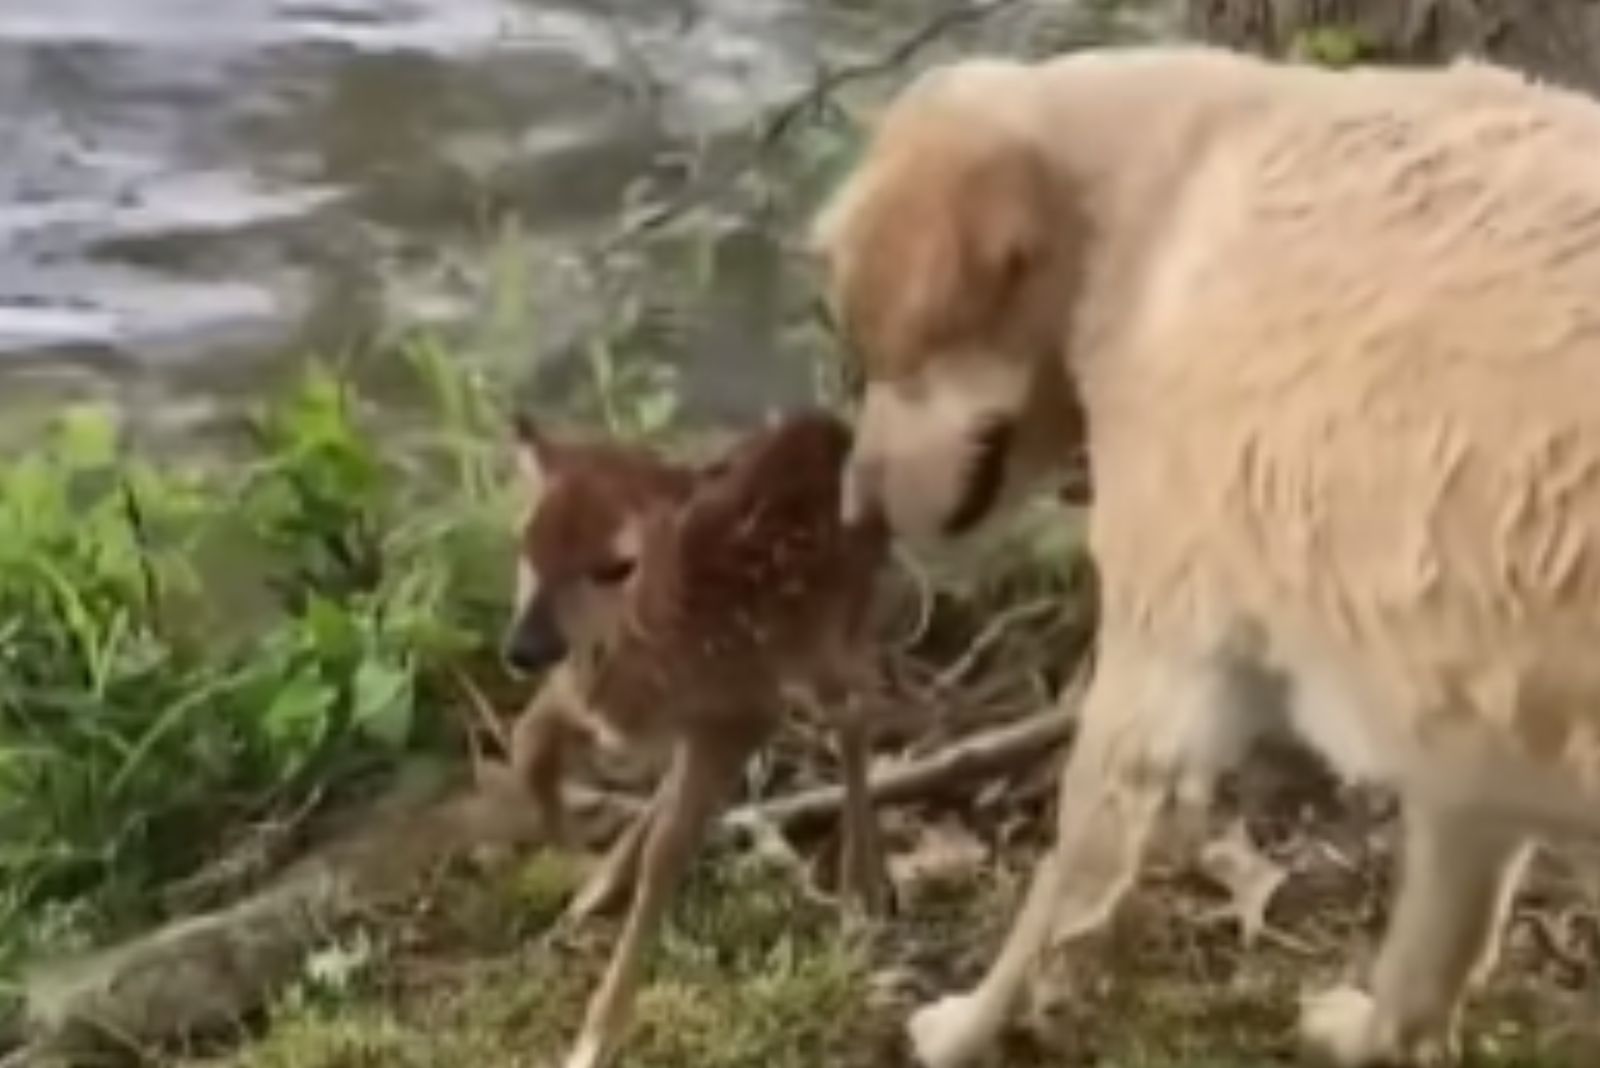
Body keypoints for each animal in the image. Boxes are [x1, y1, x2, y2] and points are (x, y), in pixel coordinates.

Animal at [812, 43, 1600, 1068]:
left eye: (882, 353)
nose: (856, 509)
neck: (1135, 205)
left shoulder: (1158, 671)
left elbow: (1059, 883)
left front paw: (965, 1024)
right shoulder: (1459, 729)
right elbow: (1427, 956)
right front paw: (1372, 1032)